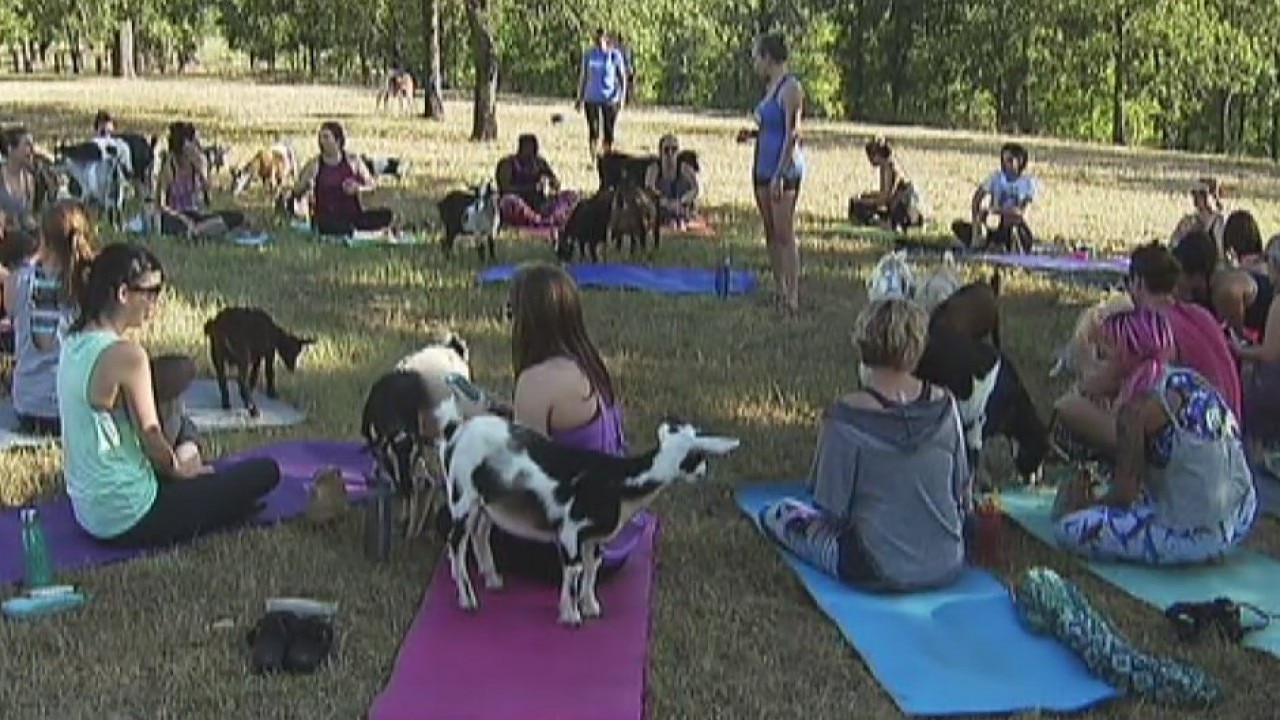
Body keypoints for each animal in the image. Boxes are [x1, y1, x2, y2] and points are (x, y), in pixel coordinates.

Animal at [432, 395, 740, 626]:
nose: (704, 471)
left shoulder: (594, 537)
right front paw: (571, 616)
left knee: (480, 534)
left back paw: (493, 579)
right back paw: (468, 599)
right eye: (696, 455)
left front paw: (591, 606)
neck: (619, 482)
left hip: (486, 503)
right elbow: (575, 568)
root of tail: (455, 431)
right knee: (456, 544)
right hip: (461, 496)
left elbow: (593, 567)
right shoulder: (571, 529)